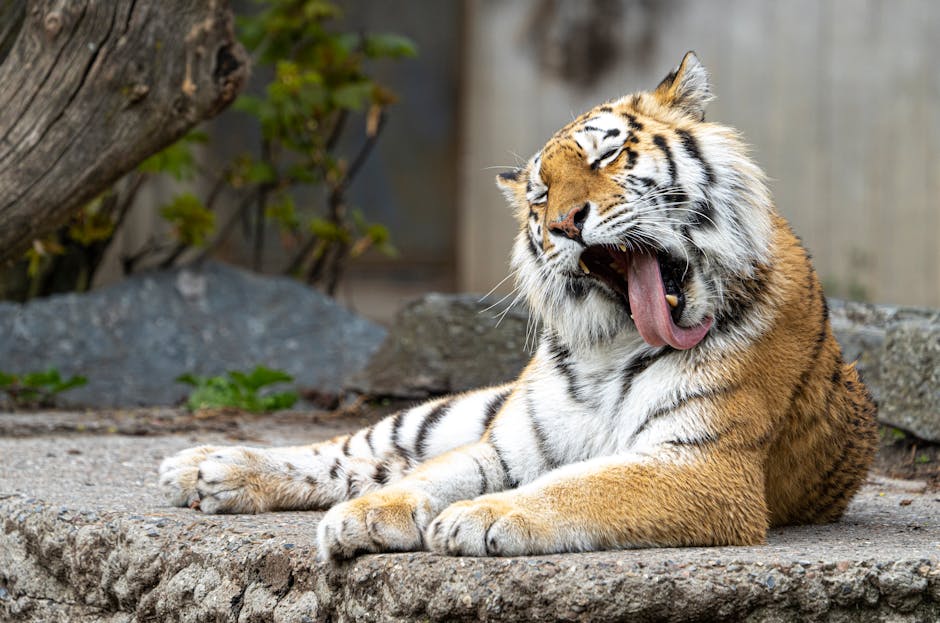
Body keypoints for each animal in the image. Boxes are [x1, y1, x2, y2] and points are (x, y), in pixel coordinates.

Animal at [158, 52, 876, 560]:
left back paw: (211, 472)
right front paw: (369, 517)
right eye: (538, 194)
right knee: (362, 450)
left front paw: (483, 517)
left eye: (607, 153)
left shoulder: (704, 464)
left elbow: (584, 484)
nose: (563, 223)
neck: (614, 344)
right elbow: (426, 477)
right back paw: (202, 465)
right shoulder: (506, 448)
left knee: (372, 463)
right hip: (457, 412)